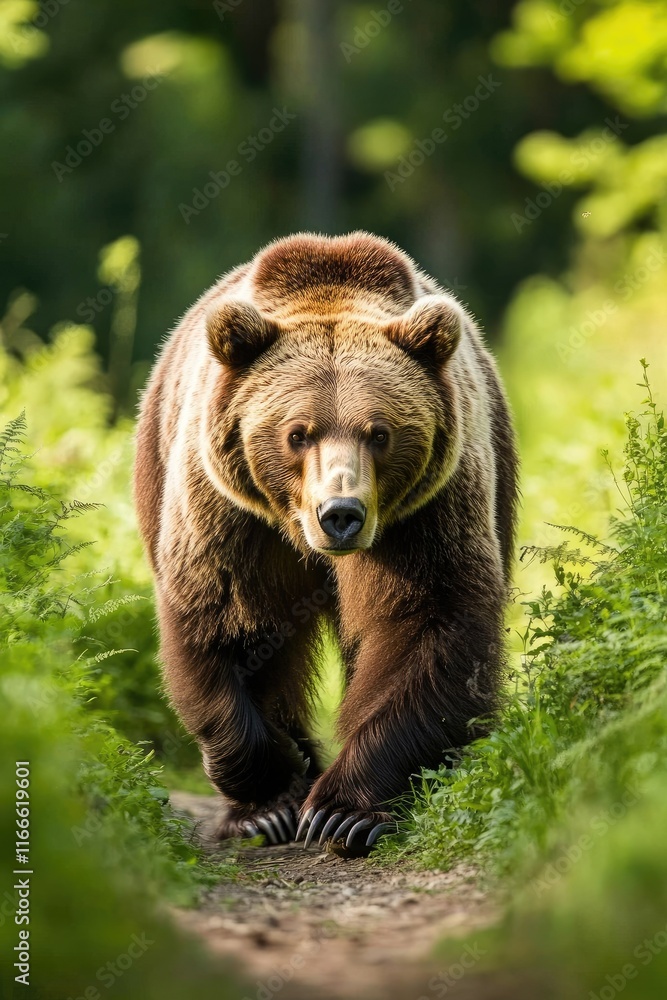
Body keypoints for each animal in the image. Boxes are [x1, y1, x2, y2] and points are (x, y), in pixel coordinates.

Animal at [134, 231, 518, 852]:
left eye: (380, 433)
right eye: (297, 432)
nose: (341, 514)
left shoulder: (428, 512)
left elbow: (428, 621)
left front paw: (346, 811)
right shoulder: (230, 513)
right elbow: (229, 621)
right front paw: (271, 803)